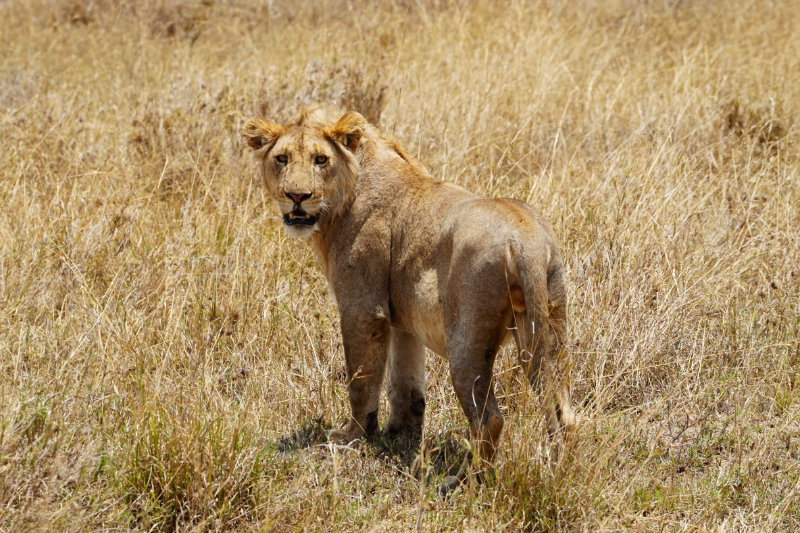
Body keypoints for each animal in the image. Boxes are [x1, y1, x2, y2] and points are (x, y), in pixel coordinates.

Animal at [244, 106, 575, 491]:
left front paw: (351, 437)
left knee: (489, 418)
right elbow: (405, 385)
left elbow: (361, 380)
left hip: (467, 338)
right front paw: (399, 436)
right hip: (547, 324)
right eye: (281, 158)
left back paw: (463, 483)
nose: (297, 196)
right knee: (562, 411)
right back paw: (558, 473)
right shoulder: (402, 320)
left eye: (320, 159)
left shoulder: (362, 307)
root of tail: (524, 241)